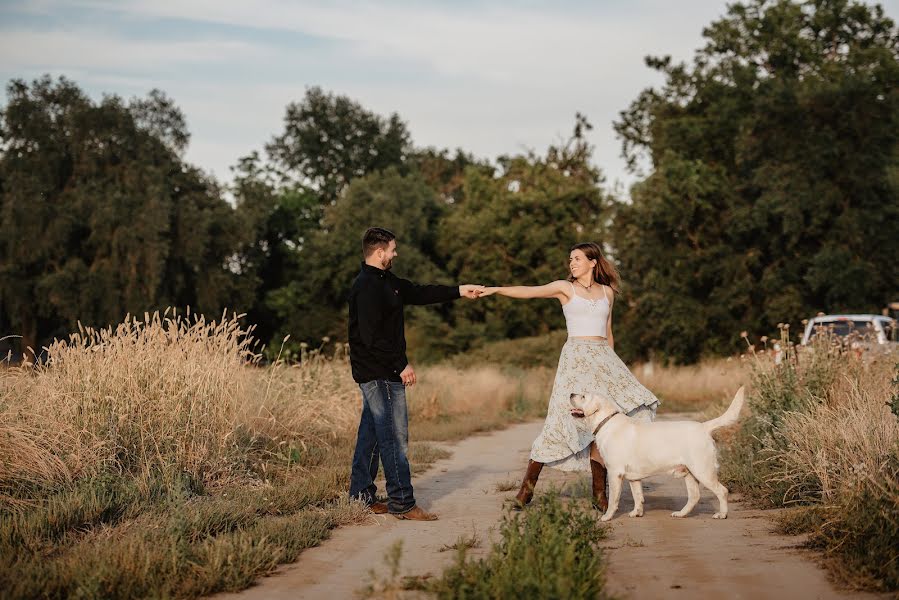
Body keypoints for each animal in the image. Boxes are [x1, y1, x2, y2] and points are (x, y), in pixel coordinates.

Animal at [568, 390, 744, 520]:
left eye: (583, 396)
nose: (570, 393)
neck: (607, 422)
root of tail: (703, 427)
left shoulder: (614, 472)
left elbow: (613, 499)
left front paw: (606, 517)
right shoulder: (633, 477)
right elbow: (638, 495)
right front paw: (637, 513)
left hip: (703, 470)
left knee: (722, 491)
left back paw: (722, 514)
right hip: (690, 473)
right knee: (694, 496)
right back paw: (681, 514)